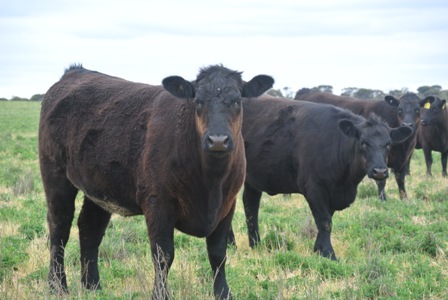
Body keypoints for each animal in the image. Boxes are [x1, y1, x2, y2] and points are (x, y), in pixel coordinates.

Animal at [38, 64, 274, 298]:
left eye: (237, 101)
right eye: (198, 101)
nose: (217, 140)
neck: (211, 183)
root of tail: (76, 71)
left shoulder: (227, 205)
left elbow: (218, 253)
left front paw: (223, 293)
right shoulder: (157, 204)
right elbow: (163, 255)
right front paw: (160, 294)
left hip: (98, 186)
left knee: (89, 228)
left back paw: (93, 286)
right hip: (55, 175)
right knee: (59, 229)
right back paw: (57, 286)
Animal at [229, 96, 412, 260]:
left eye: (388, 144)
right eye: (363, 143)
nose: (380, 171)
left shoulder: (332, 193)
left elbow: (327, 220)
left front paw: (318, 249)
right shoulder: (314, 188)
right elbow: (324, 221)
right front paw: (329, 253)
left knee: (251, 206)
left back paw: (255, 243)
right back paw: (232, 245)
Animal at [294, 89, 424, 202]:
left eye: (418, 110)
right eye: (399, 110)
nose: (407, 124)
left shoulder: (404, 160)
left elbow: (400, 179)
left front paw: (404, 199)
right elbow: (381, 180)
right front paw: (382, 199)